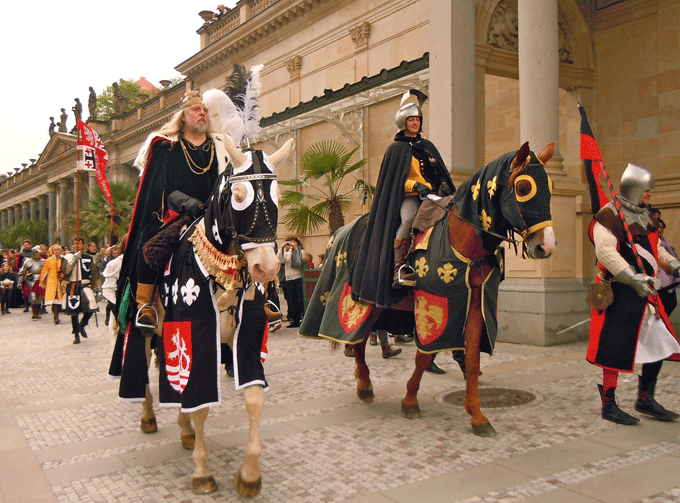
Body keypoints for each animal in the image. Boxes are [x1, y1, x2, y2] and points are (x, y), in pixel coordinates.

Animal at [300, 141, 556, 438]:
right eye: (524, 187)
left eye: (551, 186)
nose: (546, 246)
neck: (460, 236)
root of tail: (341, 231)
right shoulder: (434, 301)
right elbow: (424, 356)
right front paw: (410, 400)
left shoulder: (475, 304)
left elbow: (471, 360)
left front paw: (477, 415)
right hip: (362, 300)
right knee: (357, 339)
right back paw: (364, 385)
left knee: (360, 340)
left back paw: (362, 379)